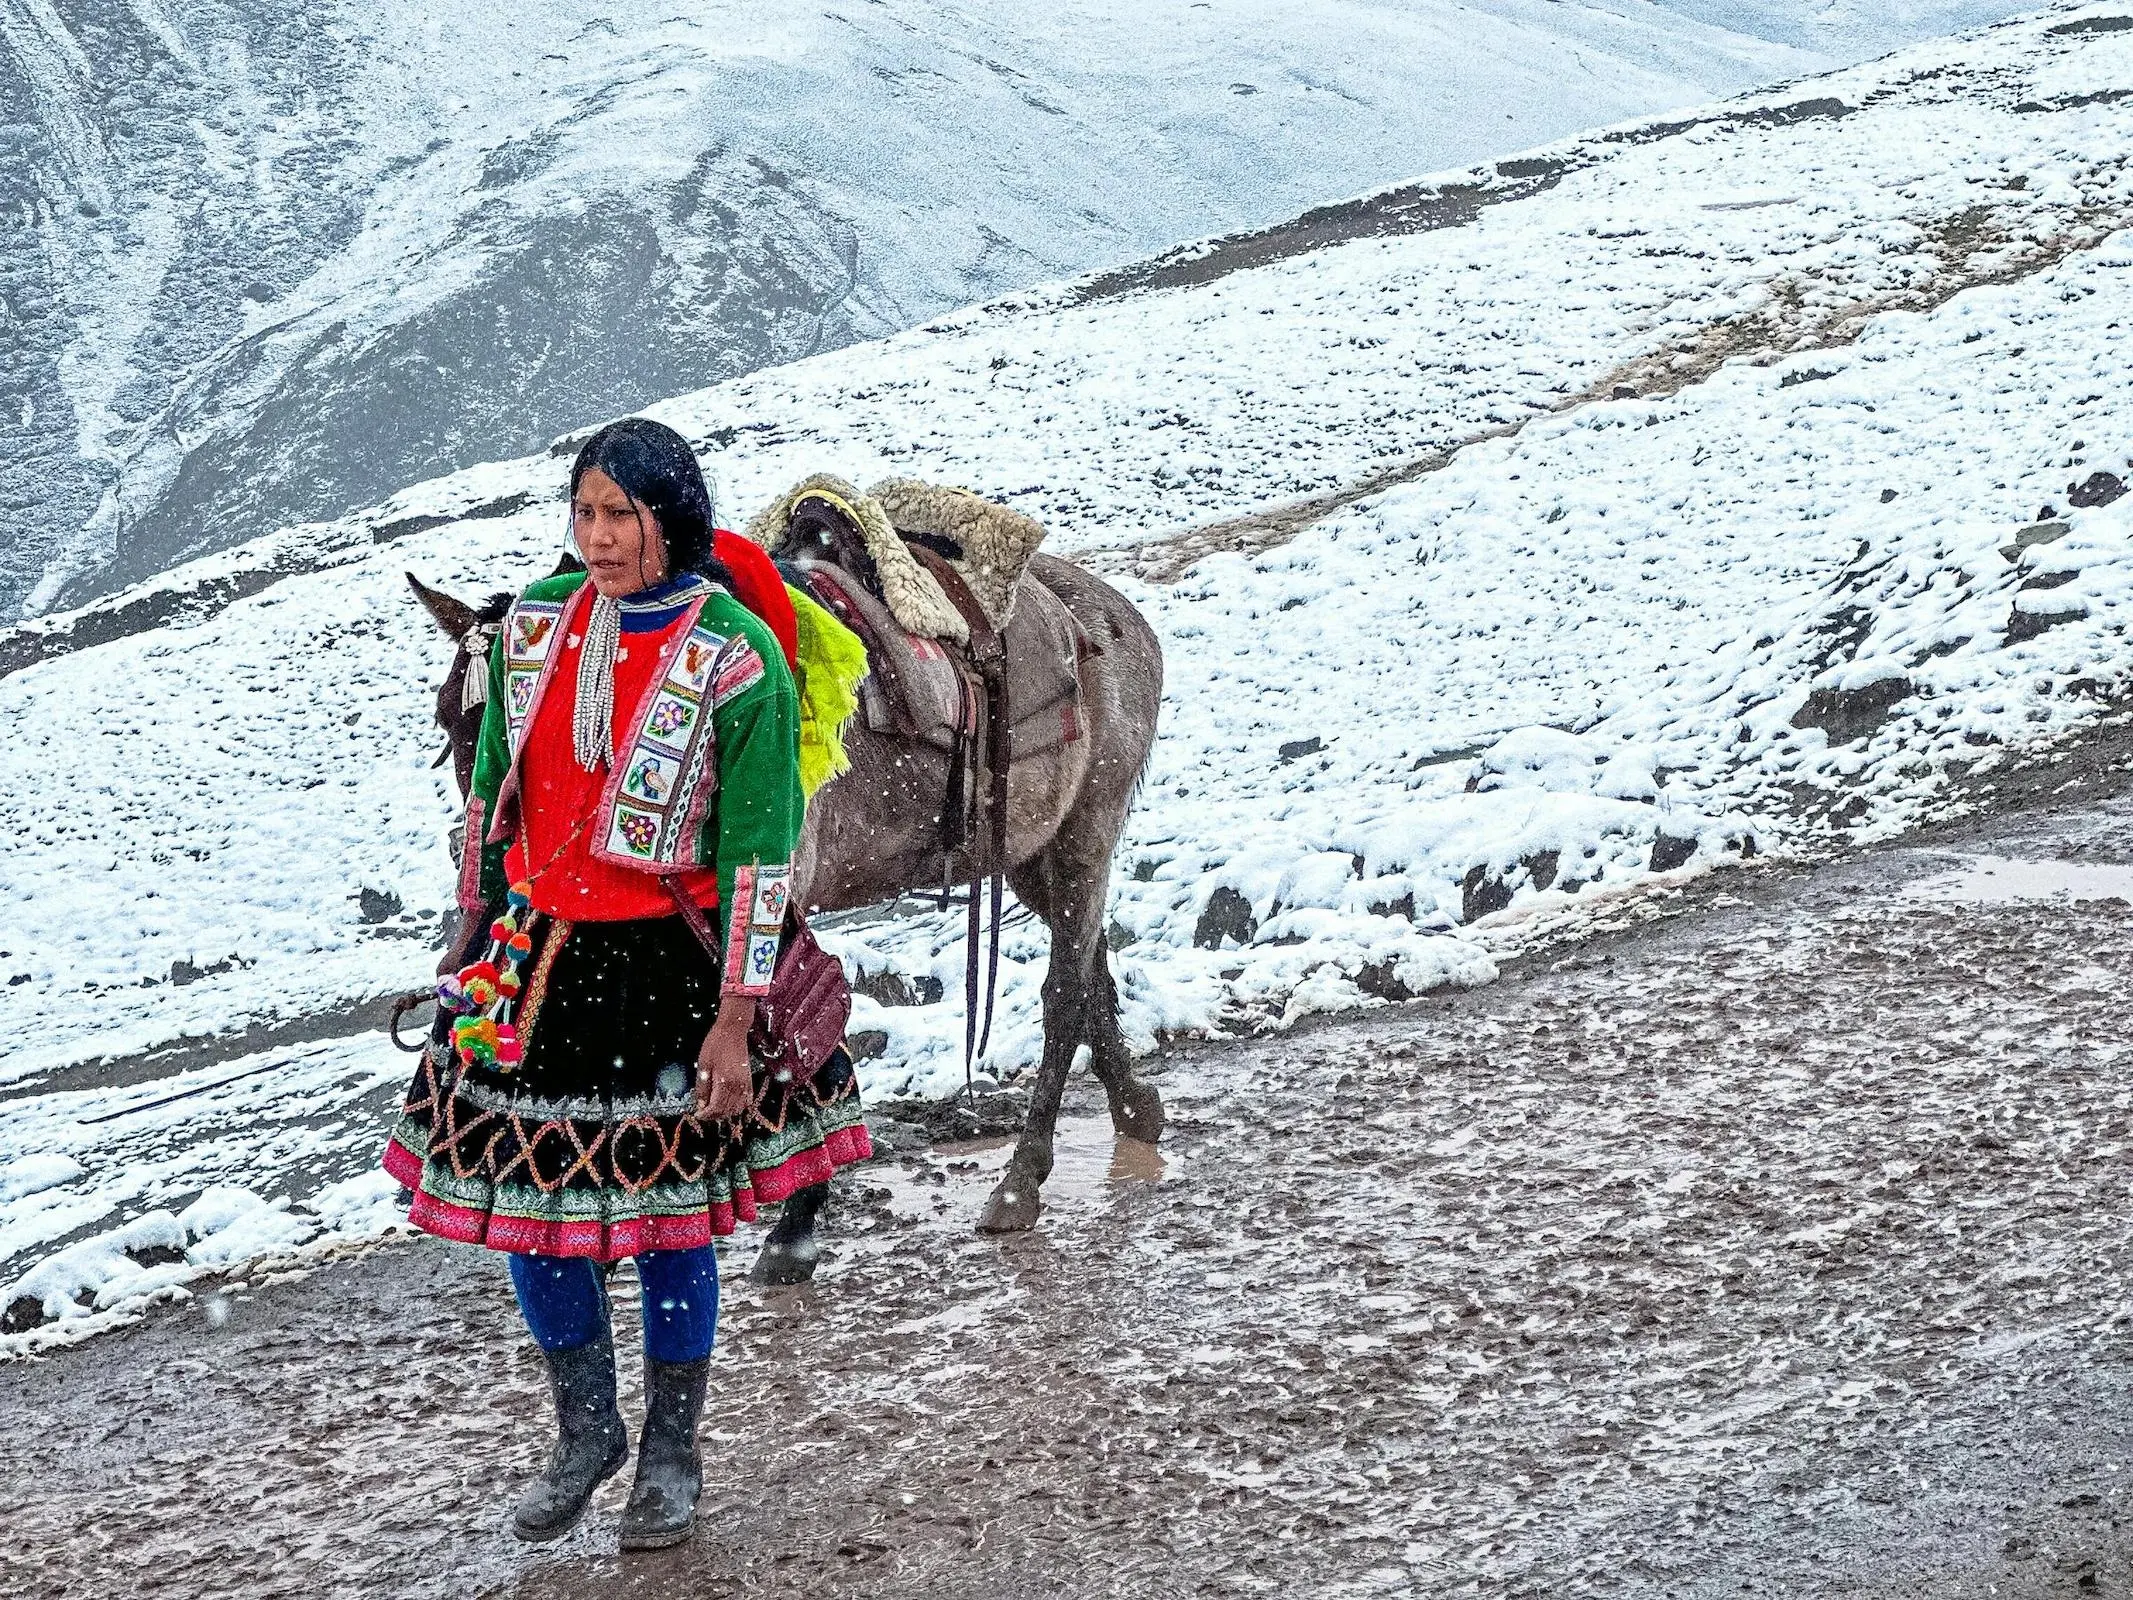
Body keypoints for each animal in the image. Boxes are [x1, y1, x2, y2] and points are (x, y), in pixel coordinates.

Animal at [411, 473, 1168, 1280]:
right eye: (451, 723)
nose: (502, 874)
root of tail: (1118, 615)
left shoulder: (771, 889)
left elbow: (774, 1049)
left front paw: (793, 1228)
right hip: (1033, 849)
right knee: (1090, 965)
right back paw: (1136, 1109)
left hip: (1087, 829)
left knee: (1064, 992)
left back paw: (1022, 1181)